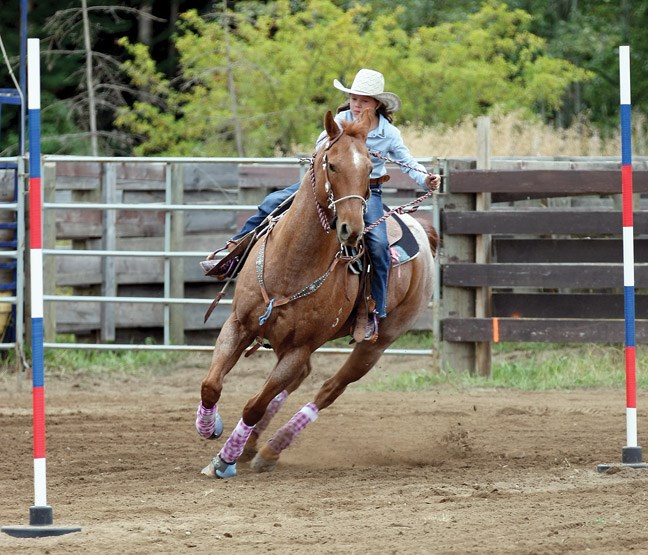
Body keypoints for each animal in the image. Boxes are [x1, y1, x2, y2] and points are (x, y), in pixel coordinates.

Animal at [195, 107, 438, 478]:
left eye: (368, 169)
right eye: (332, 164)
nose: (351, 229)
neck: (291, 263)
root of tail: (422, 232)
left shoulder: (299, 347)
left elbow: (254, 405)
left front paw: (224, 460)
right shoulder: (238, 324)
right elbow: (212, 385)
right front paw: (210, 428)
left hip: (377, 343)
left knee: (328, 389)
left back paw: (270, 449)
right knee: (299, 380)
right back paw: (251, 447)